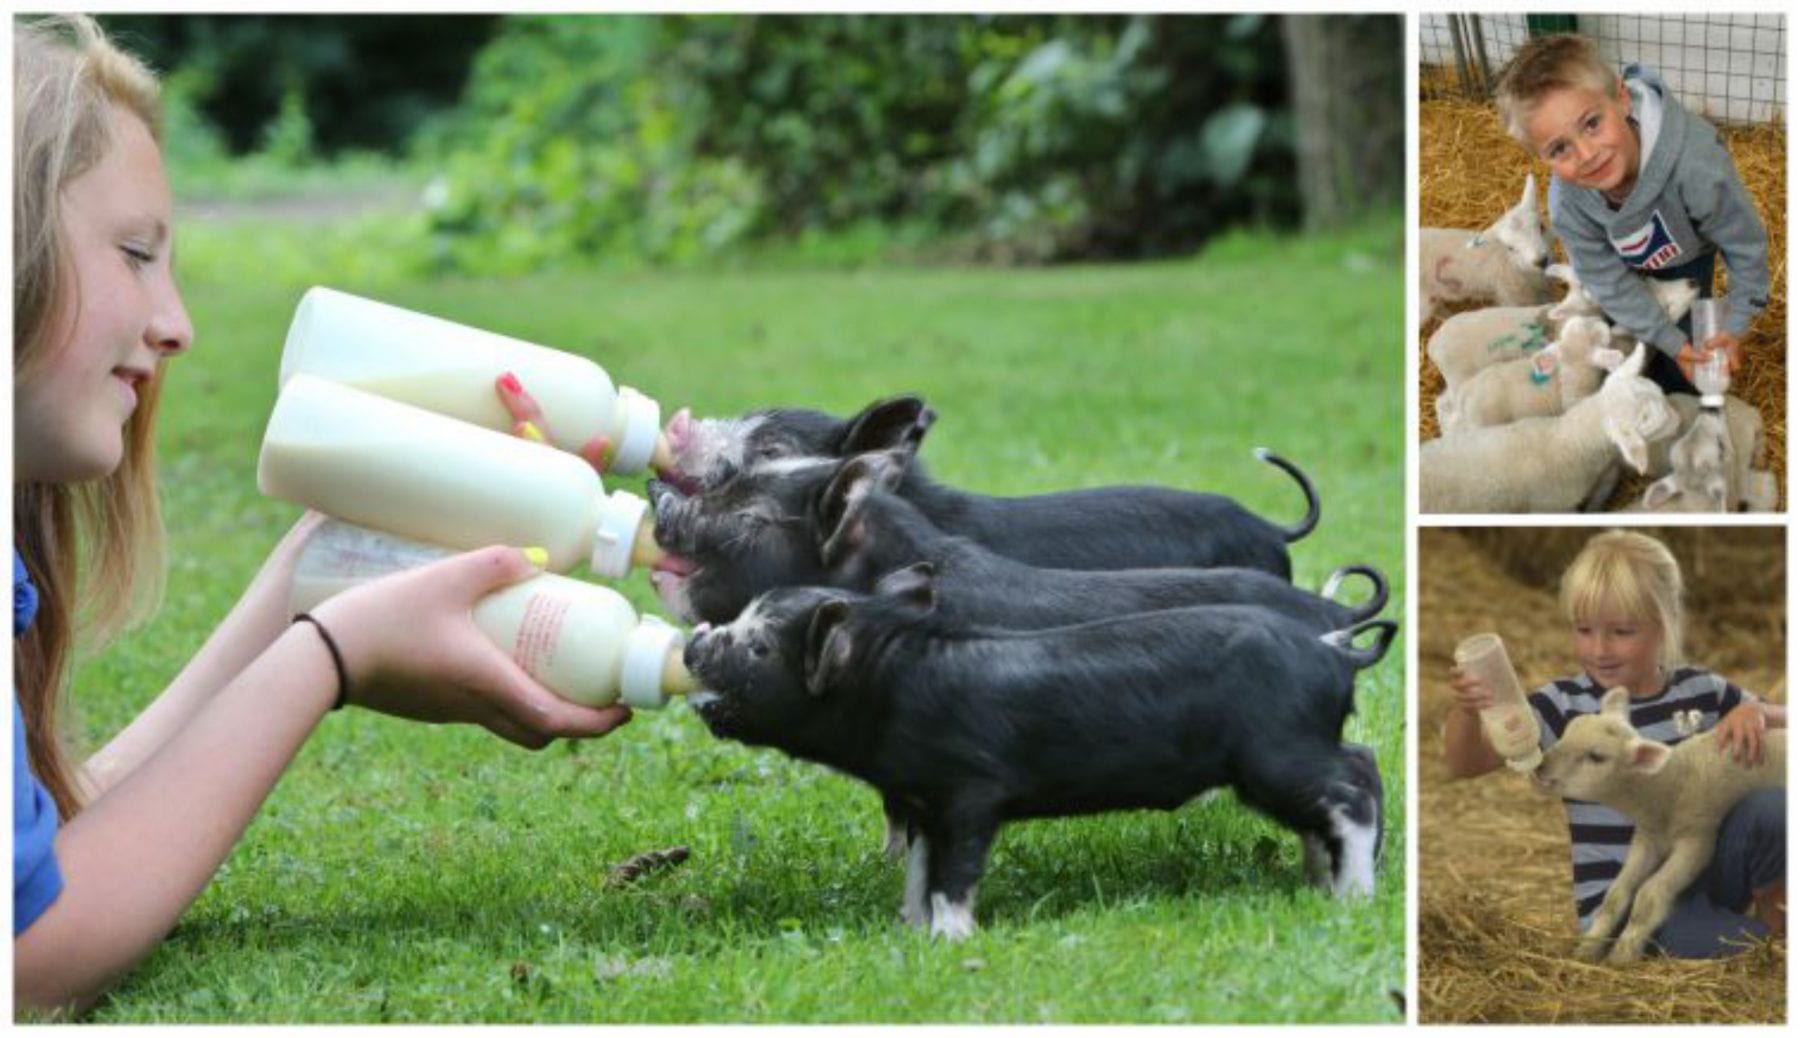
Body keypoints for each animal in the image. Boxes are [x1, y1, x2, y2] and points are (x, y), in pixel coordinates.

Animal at [1526, 687, 1778, 964]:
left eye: (1596, 757)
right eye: (1568, 730)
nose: (1541, 765)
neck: (1670, 784)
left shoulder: (1697, 840)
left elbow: (1650, 894)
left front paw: (1623, 953)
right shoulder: (1647, 839)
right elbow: (1615, 895)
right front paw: (1589, 947)